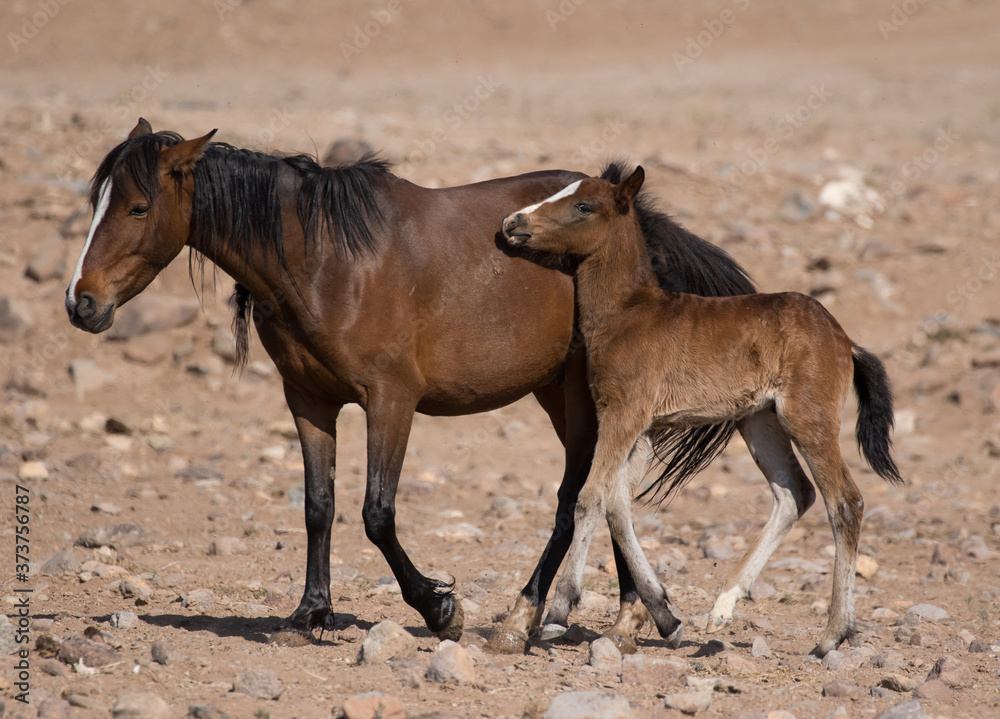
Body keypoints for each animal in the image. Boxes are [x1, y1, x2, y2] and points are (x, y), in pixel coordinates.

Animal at [65, 118, 755, 653]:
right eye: (96, 204)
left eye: (138, 207)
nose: (81, 303)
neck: (327, 260)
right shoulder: (308, 400)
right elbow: (319, 506)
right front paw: (309, 612)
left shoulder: (390, 401)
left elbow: (377, 513)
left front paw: (439, 608)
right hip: (563, 396)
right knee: (605, 491)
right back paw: (634, 615)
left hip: (581, 398)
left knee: (577, 496)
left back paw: (533, 616)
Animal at [501, 165, 903, 657]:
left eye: (582, 205)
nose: (513, 222)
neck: (628, 313)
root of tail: (845, 340)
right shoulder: (643, 429)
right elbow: (618, 505)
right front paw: (663, 615)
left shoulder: (622, 415)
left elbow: (590, 498)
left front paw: (559, 611)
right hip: (759, 421)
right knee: (795, 493)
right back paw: (723, 605)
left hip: (809, 420)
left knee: (845, 501)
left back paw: (831, 636)